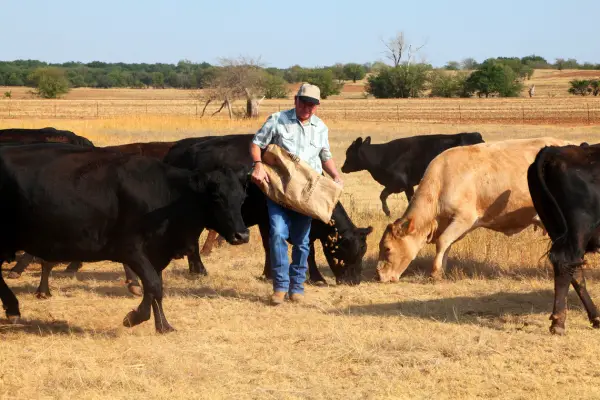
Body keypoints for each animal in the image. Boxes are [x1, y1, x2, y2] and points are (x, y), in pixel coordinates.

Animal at [0, 144, 251, 332]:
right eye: (216, 197)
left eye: (242, 197)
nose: (242, 235)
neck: (167, 195)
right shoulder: (131, 250)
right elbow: (153, 285)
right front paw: (134, 317)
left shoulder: (156, 253)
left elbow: (155, 288)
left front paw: (162, 325)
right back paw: (13, 309)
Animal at [162, 134, 372, 284]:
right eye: (347, 250)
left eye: (363, 251)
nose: (354, 281)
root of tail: (174, 151)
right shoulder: (267, 220)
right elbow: (275, 246)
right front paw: (314, 277)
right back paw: (199, 270)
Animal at [340, 133, 486, 216]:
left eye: (348, 153)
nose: (342, 168)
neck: (382, 156)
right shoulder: (408, 185)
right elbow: (410, 200)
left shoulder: (398, 183)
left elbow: (382, 195)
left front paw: (387, 212)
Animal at [378, 137, 576, 282]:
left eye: (387, 248)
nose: (379, 276)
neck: (441, 181)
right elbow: (447, 244)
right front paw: (442, 270)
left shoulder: (464, 218)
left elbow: (442, 242)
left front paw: (435, 272)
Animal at [528, 144, 600, 334]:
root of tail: (555, 151)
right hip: (579, 228)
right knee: (566, 262)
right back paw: (558, 323)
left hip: (557, 227)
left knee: (573, 269)